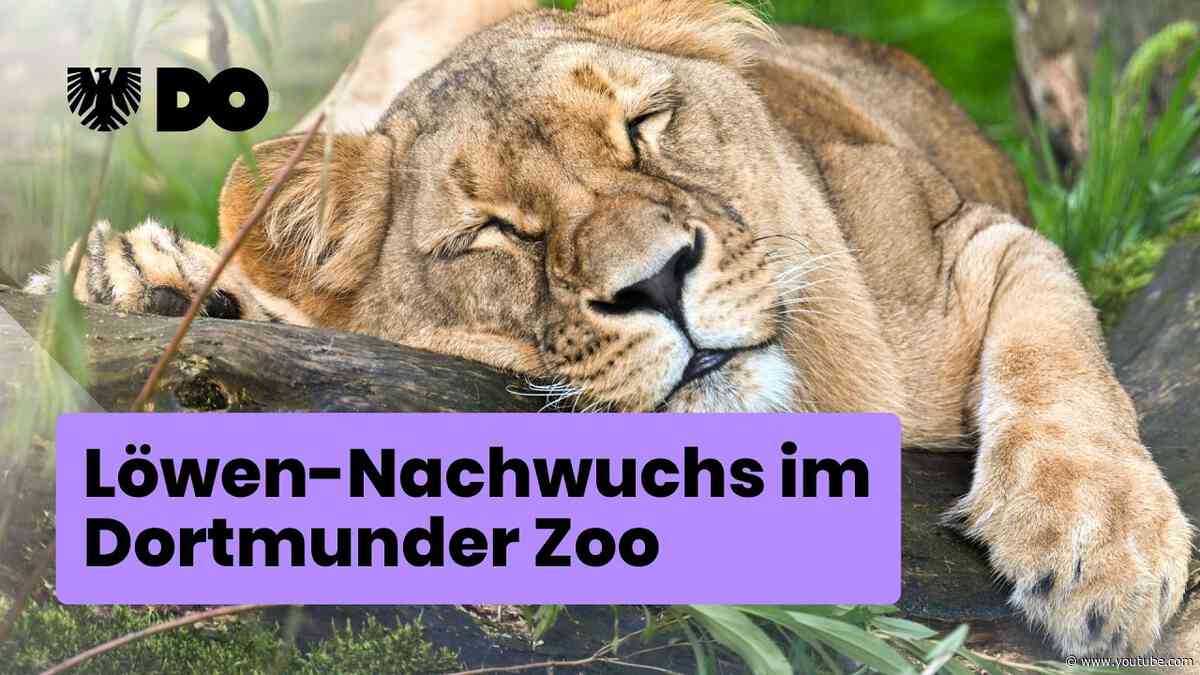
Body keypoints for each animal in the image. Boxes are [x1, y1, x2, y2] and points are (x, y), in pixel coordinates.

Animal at [25, 0, 1193, 659]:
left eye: (644, 125)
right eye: (498, 231)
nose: (659, 281)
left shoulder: (975, 240)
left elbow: (1063, 359)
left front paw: (1101, 555)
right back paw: (142, 278)